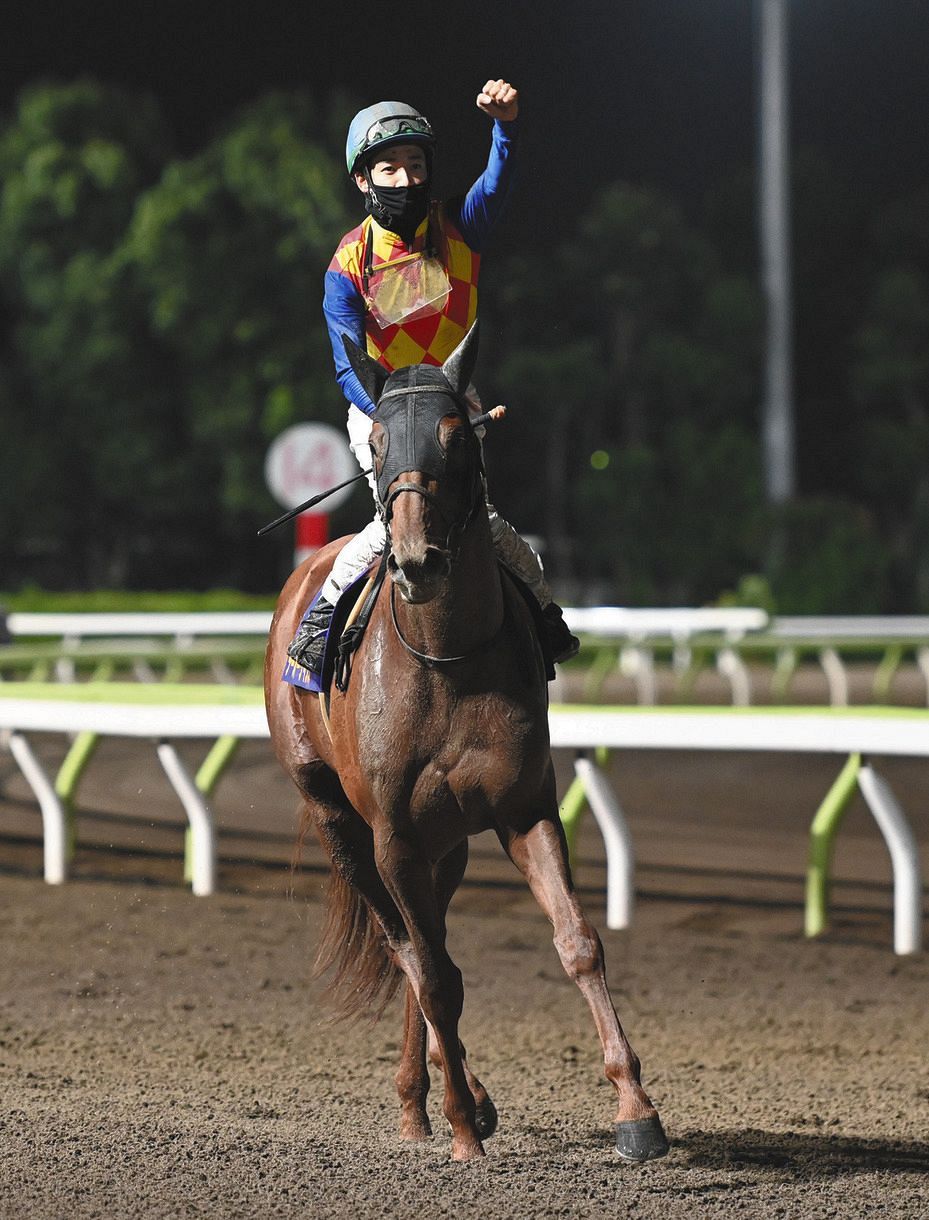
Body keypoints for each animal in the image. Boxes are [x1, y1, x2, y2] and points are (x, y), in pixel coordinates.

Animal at [262, 322, 668, 1161]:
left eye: (456, 435)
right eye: (376, 442)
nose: (417, 559)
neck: (444, 656)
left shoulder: (522, 808)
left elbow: (577, 942)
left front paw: (635, 1110)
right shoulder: (391, 834)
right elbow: (435, 974)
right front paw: (460, 1130)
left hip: (442, 843)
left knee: (428, 944)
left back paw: (427, 1101)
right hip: (338, 820)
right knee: (409, 951)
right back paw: (448, 1103)